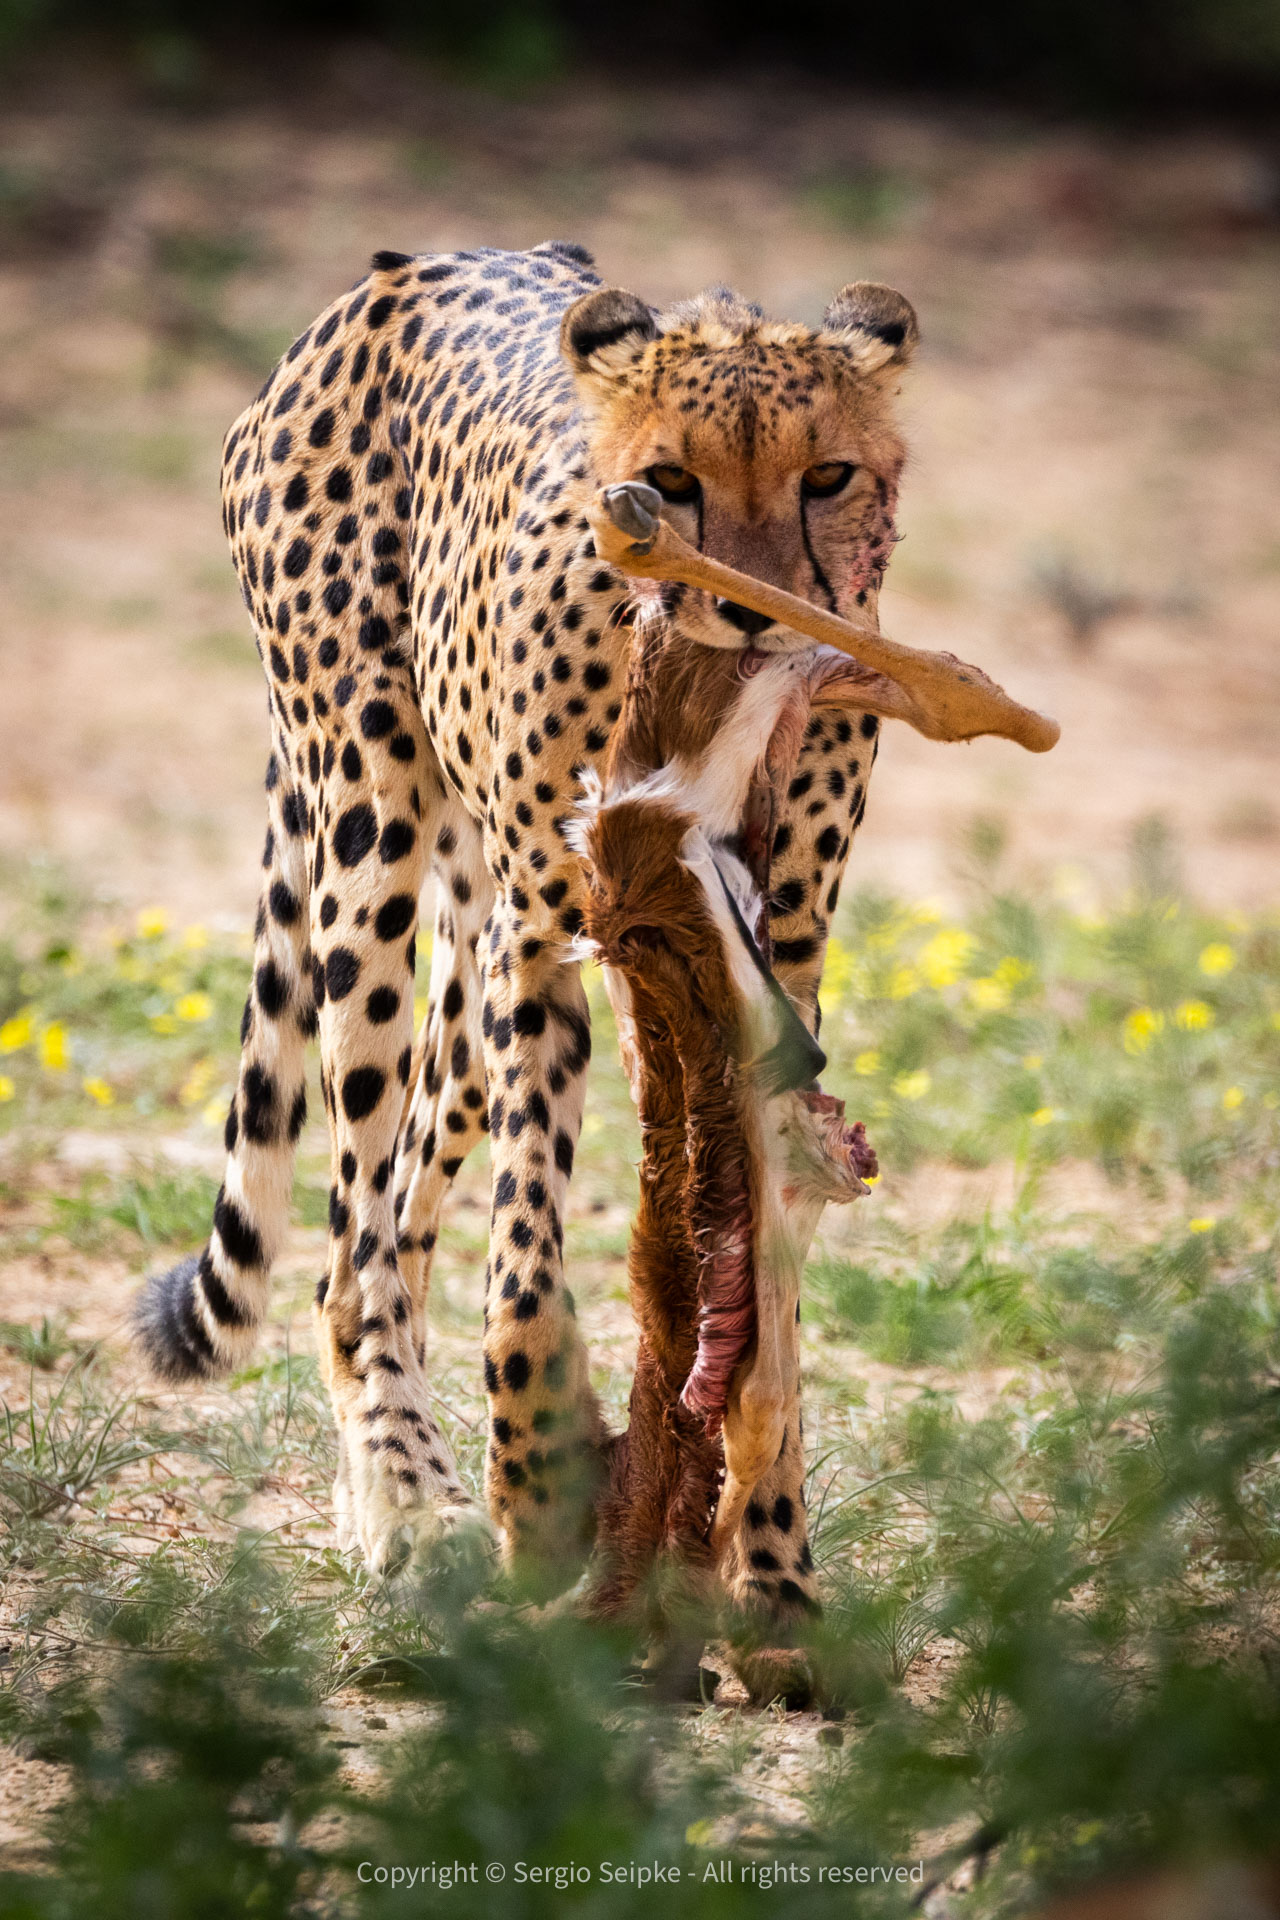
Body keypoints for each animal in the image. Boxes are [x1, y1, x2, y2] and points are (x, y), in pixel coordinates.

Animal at [138, 240, 921, 1612]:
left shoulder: (766, 965)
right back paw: (409, 1498)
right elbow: (525, 1253)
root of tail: (395, 273)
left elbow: (762, 1272)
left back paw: (383, 1491)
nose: (760, 610)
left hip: (463, 951)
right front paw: (535, 1484)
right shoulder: (549, 947)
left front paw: (773, 1568)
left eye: (828, 476)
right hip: (372, 844)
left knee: (399, 1200)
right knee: (352, 1233)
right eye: (669, 483)